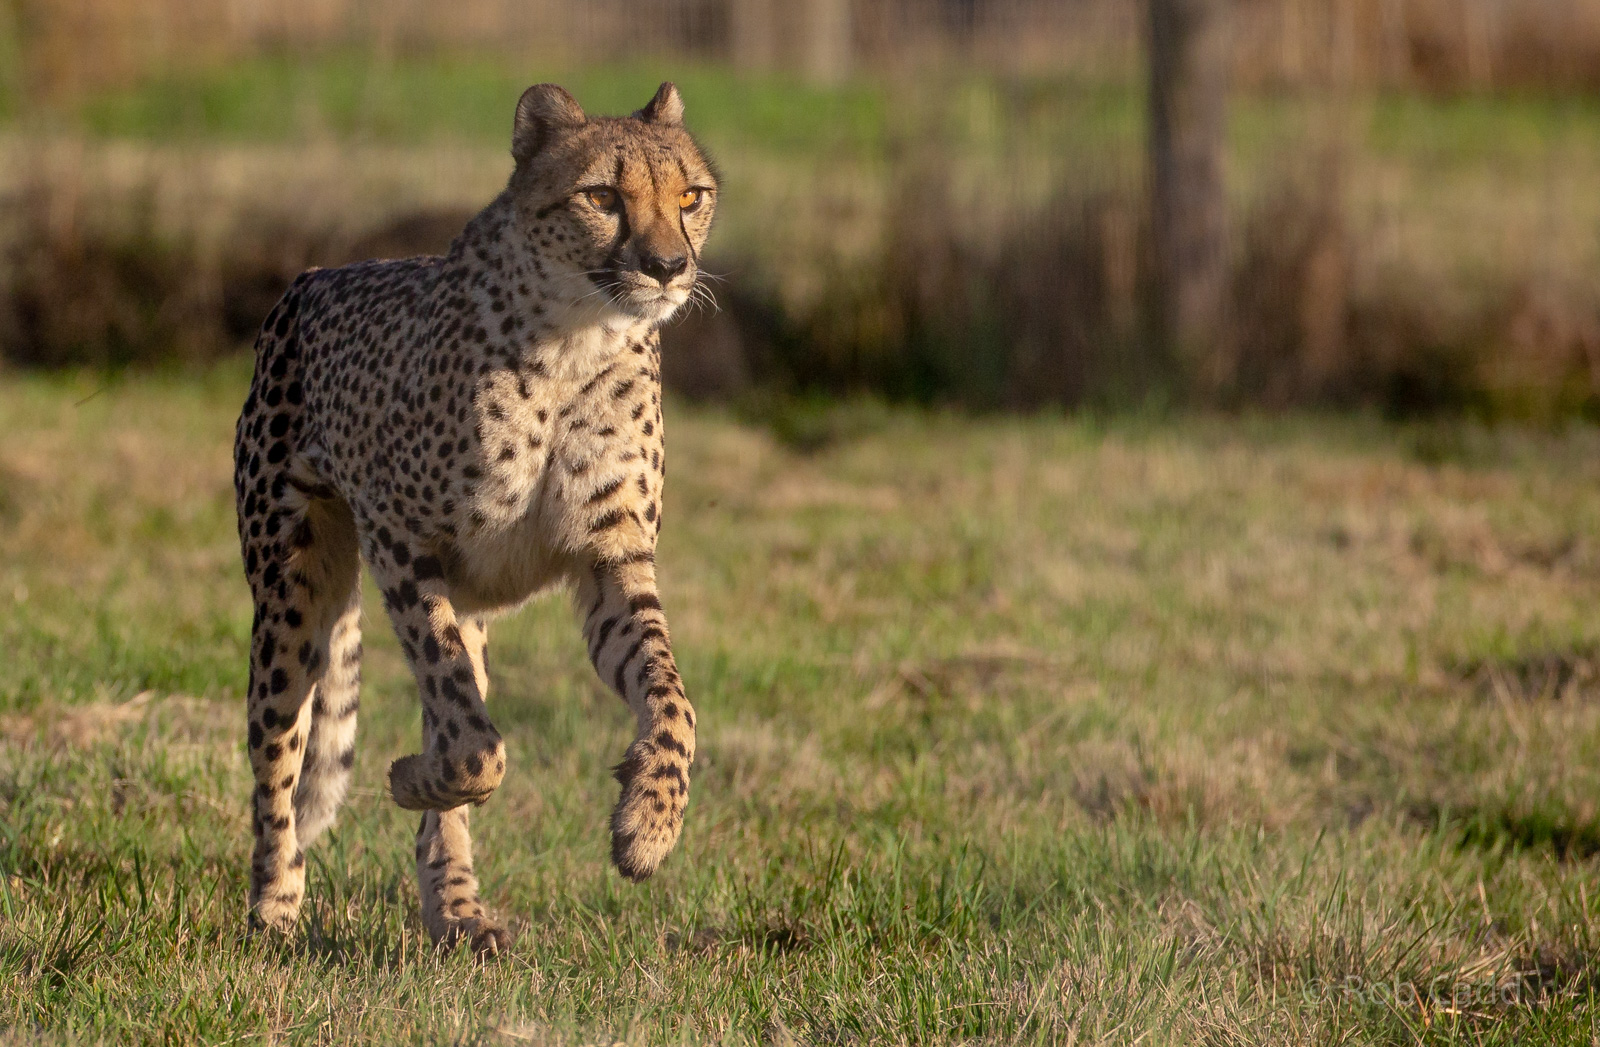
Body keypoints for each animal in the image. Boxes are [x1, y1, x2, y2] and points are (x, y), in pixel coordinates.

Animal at [232, 82, 715, 957]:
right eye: (602, 196)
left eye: (690, 196)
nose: (668, 267)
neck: (576, 340)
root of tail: (311, 275)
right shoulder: (399, 538)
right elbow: (475, 741)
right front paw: (409, 778)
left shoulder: (611, 558)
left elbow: (670, 697)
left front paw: (648, 825)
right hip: (289, 596)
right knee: (277, 757)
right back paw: (274, 910)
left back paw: (455, 910)